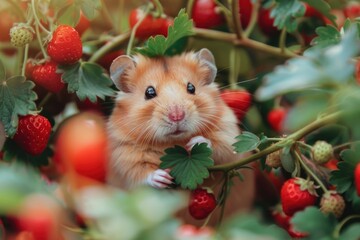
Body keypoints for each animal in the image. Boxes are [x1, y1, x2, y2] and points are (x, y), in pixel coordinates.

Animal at [105, 48, 255, 223]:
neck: (174, 142)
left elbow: (224, 150)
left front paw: (196, 143)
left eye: (191, 87)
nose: (177, 116)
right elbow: (136, 172)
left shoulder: (229, 135)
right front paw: (162, 178)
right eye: (149, 92)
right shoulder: (122, 154)